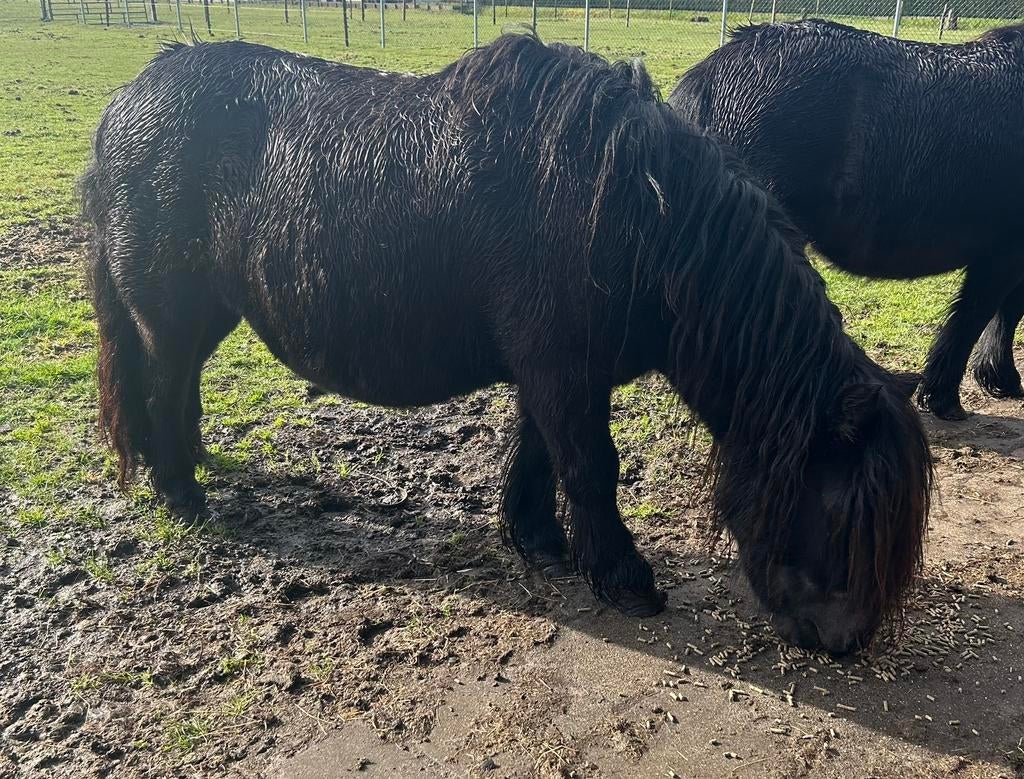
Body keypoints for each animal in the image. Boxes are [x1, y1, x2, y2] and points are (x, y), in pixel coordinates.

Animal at [81, 34, 932, 654]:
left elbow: (539, 453)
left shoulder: (555, 371)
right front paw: (624, 577)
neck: (642, 220)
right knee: (164, 386)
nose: (843, 640)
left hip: (202, 318)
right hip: (171, 317)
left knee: (175, 390)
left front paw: (538, 539)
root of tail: (125, 101)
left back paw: (189, 465)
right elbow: (590, 468)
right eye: (845, 522)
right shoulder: (563, 373)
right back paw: (182, 493)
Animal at [669, 20, 1024, 421]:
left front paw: (997, 379)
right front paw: (946, 398)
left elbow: (1003, 313)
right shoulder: (1003, 255)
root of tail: (710, 74)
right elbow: (976, 317)